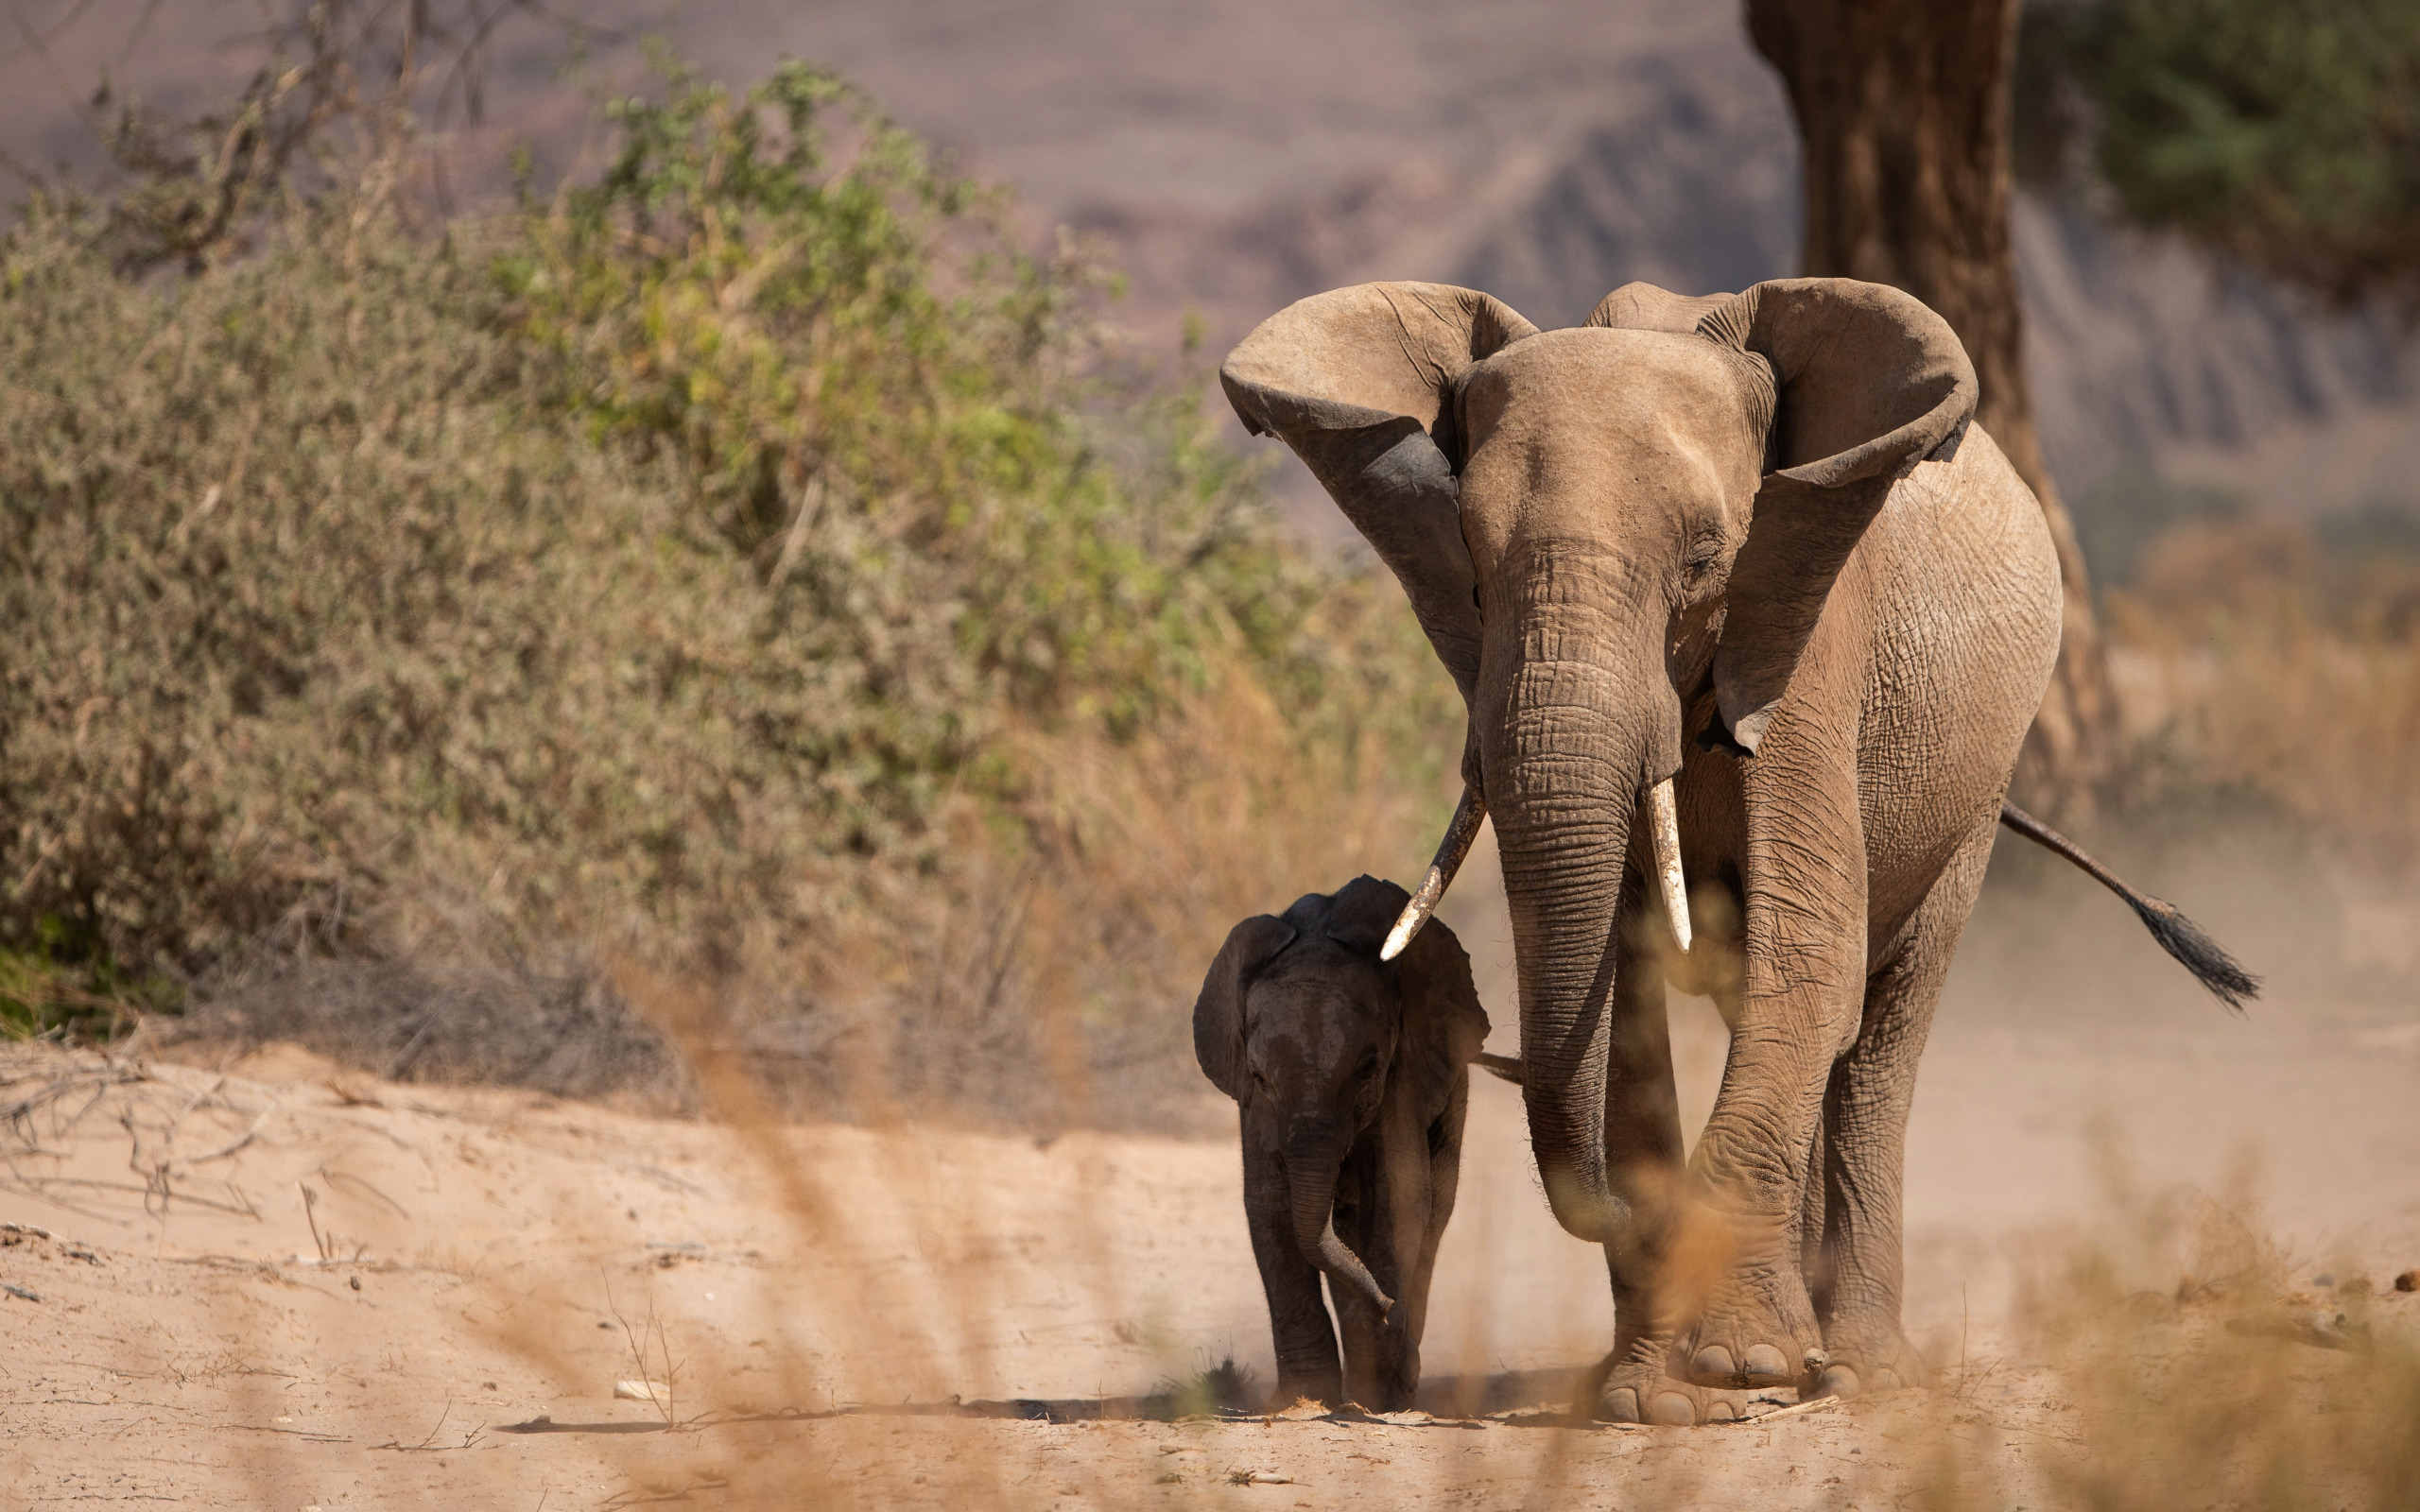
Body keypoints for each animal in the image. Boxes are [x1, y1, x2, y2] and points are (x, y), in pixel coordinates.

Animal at [1195, 870, 1480, 1402]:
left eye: (1367, 1071)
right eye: (1258, 1076)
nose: (1387, 1305)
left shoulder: (1400, 1083)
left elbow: (1396, 1199)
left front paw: (1375, 1392)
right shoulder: (1257, 1111)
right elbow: (1269, 1205)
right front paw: (1306, 1399)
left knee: (1435, 1209)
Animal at [1229, 277, 2062, 1422]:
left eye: (1707, 558)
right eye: (1470, 562)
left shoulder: (1808, 636)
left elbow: (1811, 960)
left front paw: (1739, 1365)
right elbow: (1621, 997)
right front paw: (1652, 1396)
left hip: (1979, 789)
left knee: (1880, 1026)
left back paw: (1854, 1369)